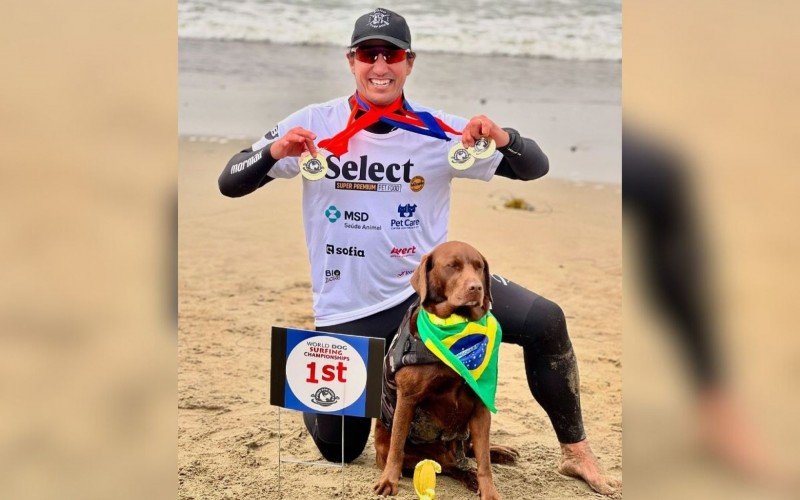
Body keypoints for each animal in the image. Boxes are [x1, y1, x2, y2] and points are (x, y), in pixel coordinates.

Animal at [372, 240, 516, 498]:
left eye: (479, 267)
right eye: (452, 266)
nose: (476, 288)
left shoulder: (481, 405)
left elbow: (485, 461)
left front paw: (489, 491)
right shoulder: (407, 399)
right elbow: (397, 447)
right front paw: (389, 481)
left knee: (470, 451)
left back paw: (499, 453)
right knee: (448, 464)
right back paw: (468, 475)